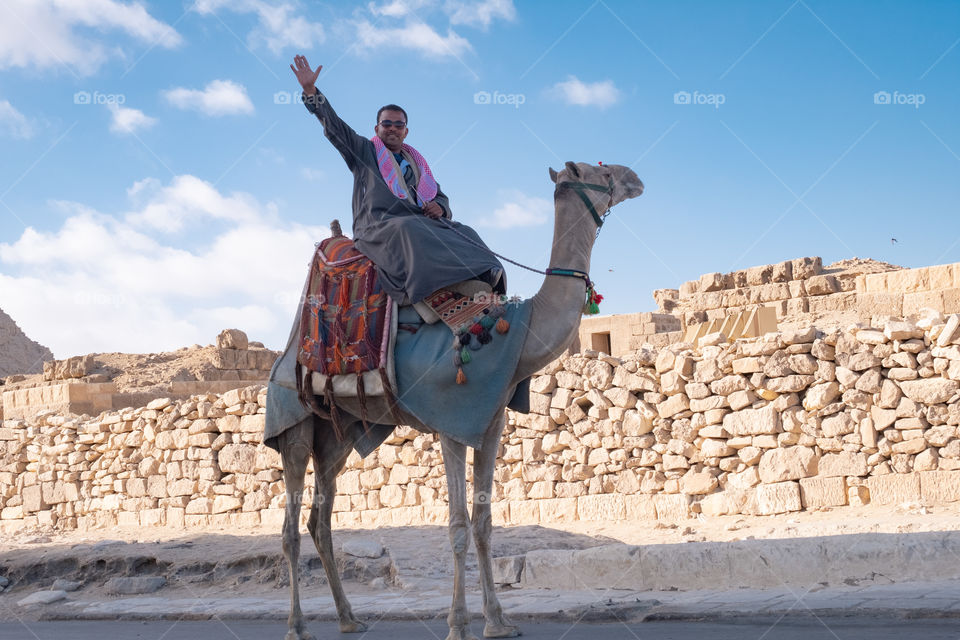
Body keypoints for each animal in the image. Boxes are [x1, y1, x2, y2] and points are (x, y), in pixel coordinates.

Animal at [275, 161, 644, 640]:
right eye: (600, 172)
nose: (635, 177)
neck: (515, 329)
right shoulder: (451, 419)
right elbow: (457, 526)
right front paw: (458, 624)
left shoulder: (489, 423)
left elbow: (484, 524)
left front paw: (499, 622)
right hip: (294, 419)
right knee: (291, 527)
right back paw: (298, 625)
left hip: (337, 435)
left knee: (320, 521)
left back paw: (349, 618)